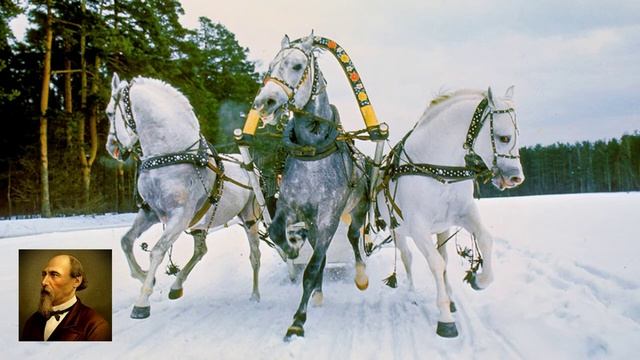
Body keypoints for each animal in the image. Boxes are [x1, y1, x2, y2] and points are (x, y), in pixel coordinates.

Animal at [105, 72, 262, 318]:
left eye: (110, 113)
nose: (111, 147)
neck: (171, 156)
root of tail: (249, 166)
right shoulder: (150, 212)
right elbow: (126, 241)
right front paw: (143, 276)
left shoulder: (180, 215)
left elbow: (157, 251)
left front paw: (142, 301)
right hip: (202, 223)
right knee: (200, 251)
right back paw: (176, 286)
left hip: (250, 217)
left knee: (255, 255)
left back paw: (255, 295)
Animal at [251, 32, 368, 338]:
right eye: (270, 67)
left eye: (296, 65)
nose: (264, 102)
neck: (312, 152)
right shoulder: (290, 206)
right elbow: (279, 233)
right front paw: (292, 247)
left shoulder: (328, 215)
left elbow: (313, 266)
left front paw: (298, 321)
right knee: (321, 250)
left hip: (357, 208)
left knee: (353, 237)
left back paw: (361, 275)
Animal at [380, 88, 524, 338]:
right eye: (504, 138)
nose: (517, 177)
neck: (438, 169)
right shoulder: (418, 227)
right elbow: (436, 264)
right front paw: (445, 319)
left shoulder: (463, 213)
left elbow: (485, 240)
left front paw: (479, 279)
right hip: (397, 230)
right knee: (408, 257)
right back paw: (412, 293)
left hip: (442, 229)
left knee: (444, 257)